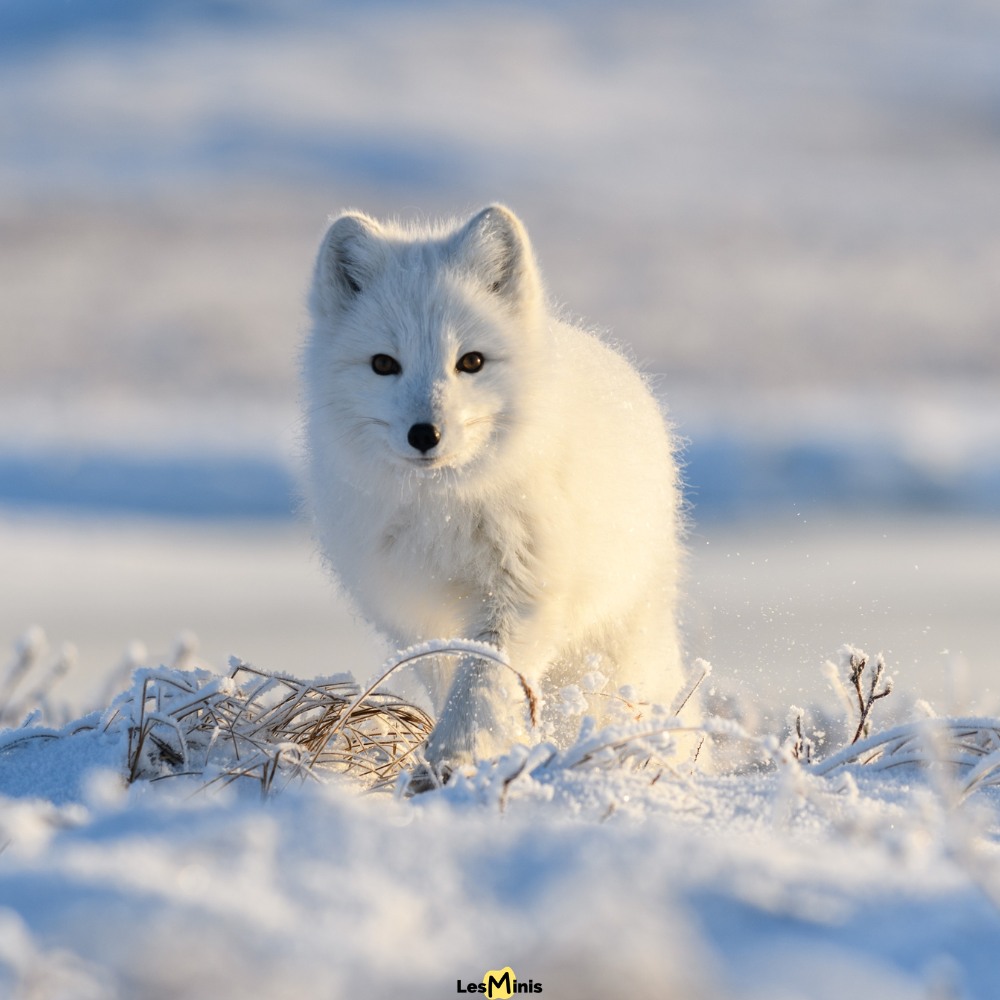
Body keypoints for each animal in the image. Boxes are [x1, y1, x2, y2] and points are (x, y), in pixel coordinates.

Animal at [302, 204, 686, 771]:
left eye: (472, 361)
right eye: (383, 364)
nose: (425, 434)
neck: (442, 512)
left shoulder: (520, 591)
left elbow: (483, 682)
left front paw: (454, 756)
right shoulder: (416, 612)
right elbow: (452, 676)